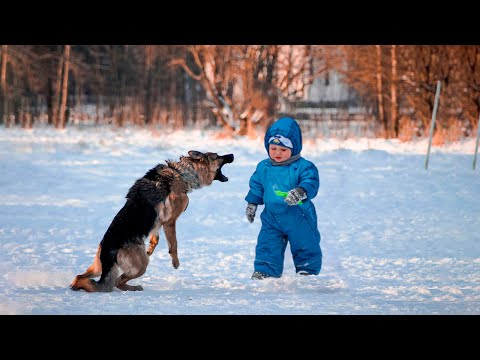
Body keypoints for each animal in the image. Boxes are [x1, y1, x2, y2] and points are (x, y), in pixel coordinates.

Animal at [70, 150, 234, 292]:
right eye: (217, 155)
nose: (232, 154)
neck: (181, 173)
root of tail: (108, 249)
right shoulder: (170, 221)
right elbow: (174, 244)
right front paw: (175, 263)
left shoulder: (158, 223)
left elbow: (156, 238)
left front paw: (151, 248)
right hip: (141, 265)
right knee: (117, 282)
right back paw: (135, 288)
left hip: (97, 268)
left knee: (80, 277)